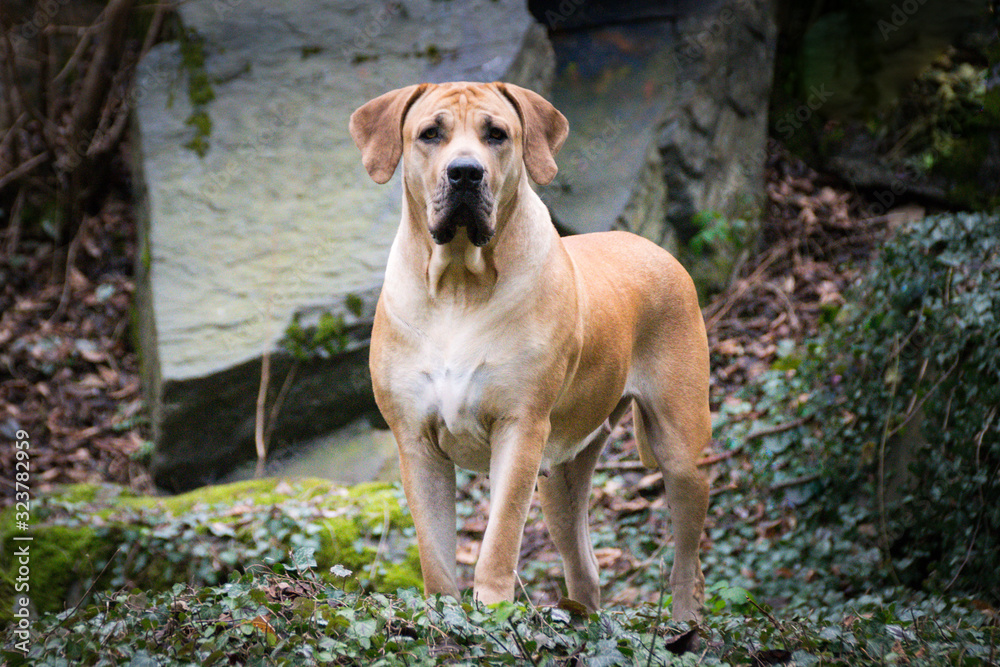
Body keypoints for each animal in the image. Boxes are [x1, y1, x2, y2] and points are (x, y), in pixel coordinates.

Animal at [352, 83, 712, 628]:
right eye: (430, 134)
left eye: (496, 134)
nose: (465, 172)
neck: (458, 285)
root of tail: (655, 247)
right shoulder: (415, 441)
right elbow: (434, 552)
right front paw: (443, 617)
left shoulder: (519, 427)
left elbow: (499, 538)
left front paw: (491, 611)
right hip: (561, 478)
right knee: (584, 566)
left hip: (680, 448)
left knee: (689, 560)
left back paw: (685, 625)